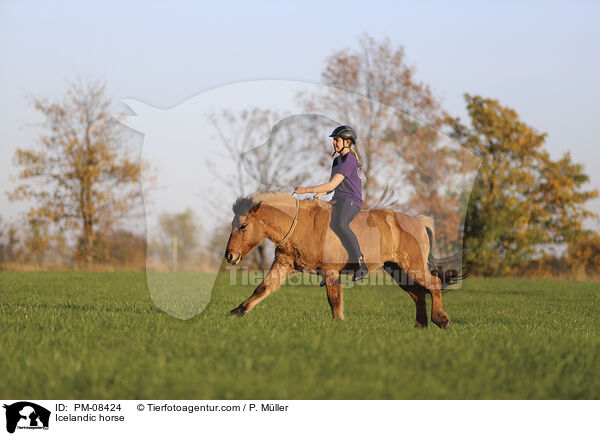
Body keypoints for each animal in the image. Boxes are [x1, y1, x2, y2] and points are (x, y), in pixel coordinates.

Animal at [225, 191, 464, 328]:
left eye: (243, 226)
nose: (230, 256)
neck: (303, 225)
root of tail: (419, 223)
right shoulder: (283, 265)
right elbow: (263, 288)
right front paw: (237, 312)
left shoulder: (330, 271)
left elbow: (334, 299)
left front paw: (338, 323)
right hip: (397, 270)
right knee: (419, 295)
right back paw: (421, 325)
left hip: (413, 267)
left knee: (433, 285)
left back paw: (441, 320)